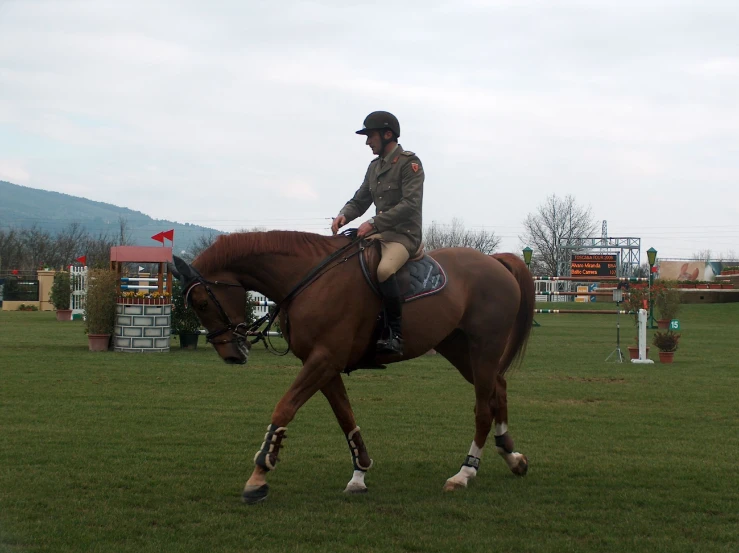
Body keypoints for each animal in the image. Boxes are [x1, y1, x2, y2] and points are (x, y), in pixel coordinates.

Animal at [171, 231, 536, 502]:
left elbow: (284, 408)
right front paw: (360, 472)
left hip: (484, 347)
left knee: (483, 407)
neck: (309, 279)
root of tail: (494, 261)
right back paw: (511, 456)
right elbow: (345, 416)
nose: (231, 355)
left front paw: (259, 475)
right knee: (498, 388)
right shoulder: (324, 364)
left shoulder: (323, 359)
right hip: (457, 348)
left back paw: (465, 472)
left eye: (201, 303)